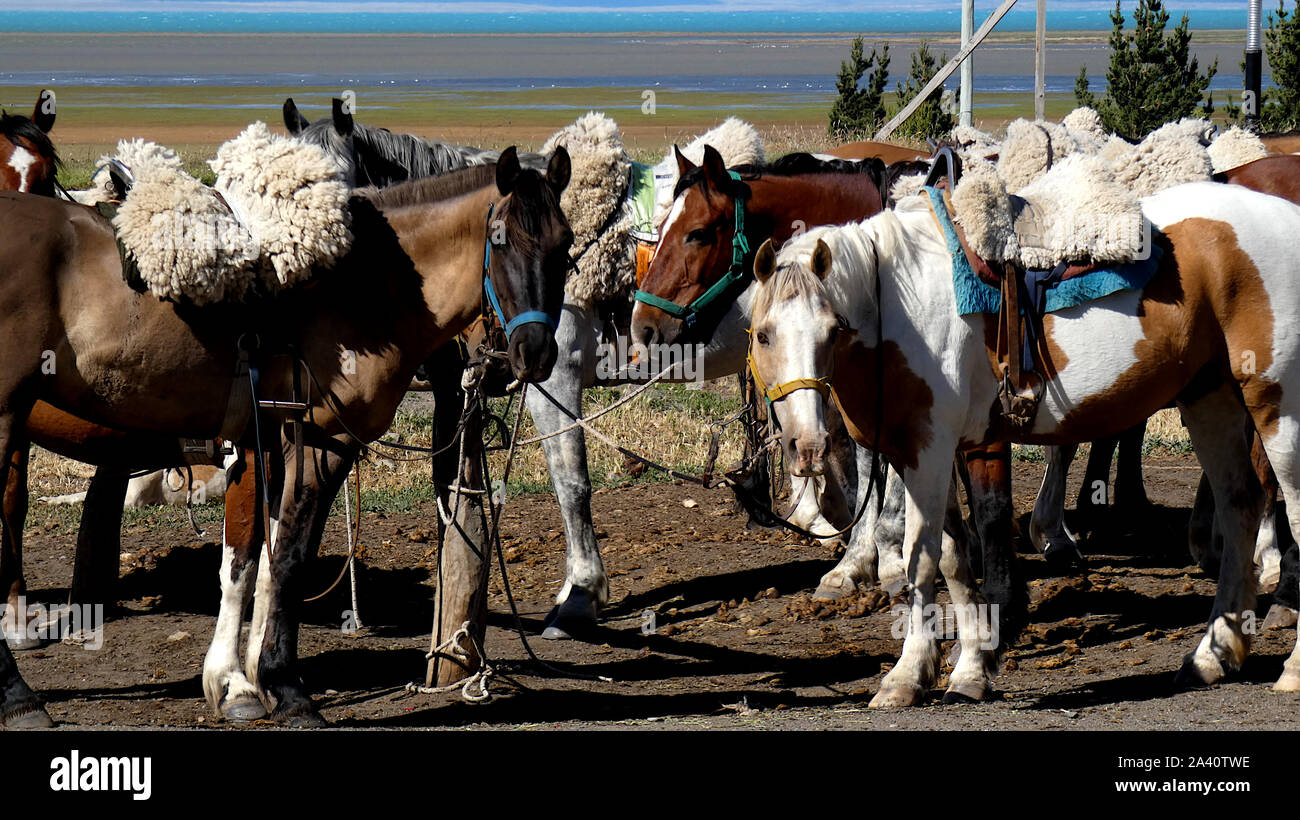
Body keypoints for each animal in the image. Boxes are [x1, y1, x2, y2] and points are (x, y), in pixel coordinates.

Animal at [0, 144, 574, 727]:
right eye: (500, 240)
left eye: (566, 244)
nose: (533, 353)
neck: (361, 289)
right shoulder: (314, 444)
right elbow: (278, 561)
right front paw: (276, 686)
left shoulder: (273, 448)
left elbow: (263, 563)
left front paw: (248, 680)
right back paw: (19, 695)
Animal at [743, 184, 1300, 706]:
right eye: (763, 335)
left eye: (832, 330)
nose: (807, 446)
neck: (902, 306)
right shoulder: (933, 451)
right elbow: (954, 558)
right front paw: (970, 668)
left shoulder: (930, 452)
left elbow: (921, 558)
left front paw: (906, 676)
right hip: (1210, 398)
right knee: (1240, 504)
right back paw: (1212, 656)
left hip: (1276, 405)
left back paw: (1290, 665)